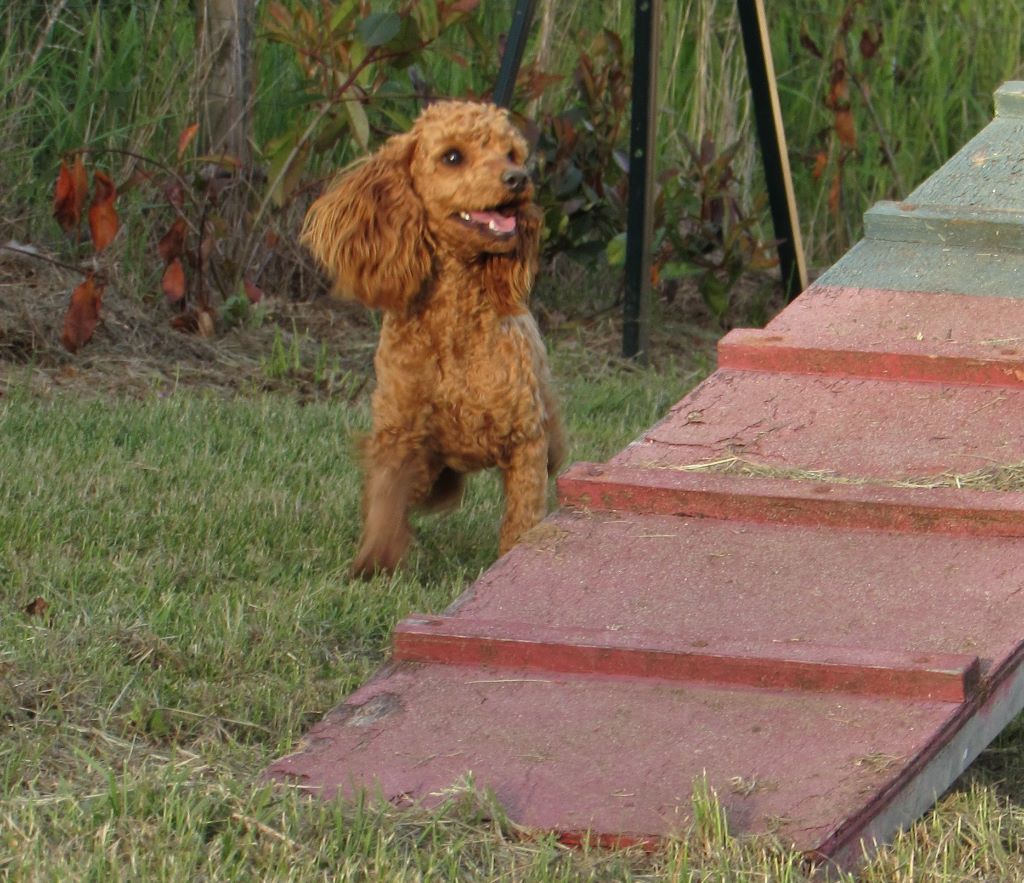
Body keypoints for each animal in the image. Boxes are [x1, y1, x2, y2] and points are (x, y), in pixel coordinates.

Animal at [299, 100, 565, 577]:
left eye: (512, 154)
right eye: (452, 156)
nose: (518, 179)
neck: (455, 322)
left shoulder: (525, 440)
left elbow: (521, 515)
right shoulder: (399, 439)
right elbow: (385, 503)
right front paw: (374, 565)